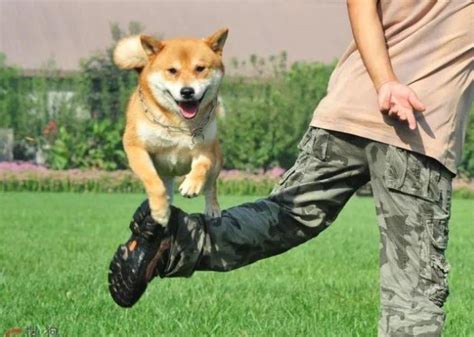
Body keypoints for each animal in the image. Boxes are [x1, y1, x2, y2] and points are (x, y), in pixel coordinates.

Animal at [113, 28, 228, 223]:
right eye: (172, 70)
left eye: (200, 68)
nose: (187, 91)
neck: (179, 125)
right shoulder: (135, 147)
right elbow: (152, 180)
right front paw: (160, 212)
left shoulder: (205, 149)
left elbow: (202, 167)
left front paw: (191, 185)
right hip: (165, 172)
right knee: (166, 188)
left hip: (217, 158)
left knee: (211, 185)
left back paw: (212, 208)